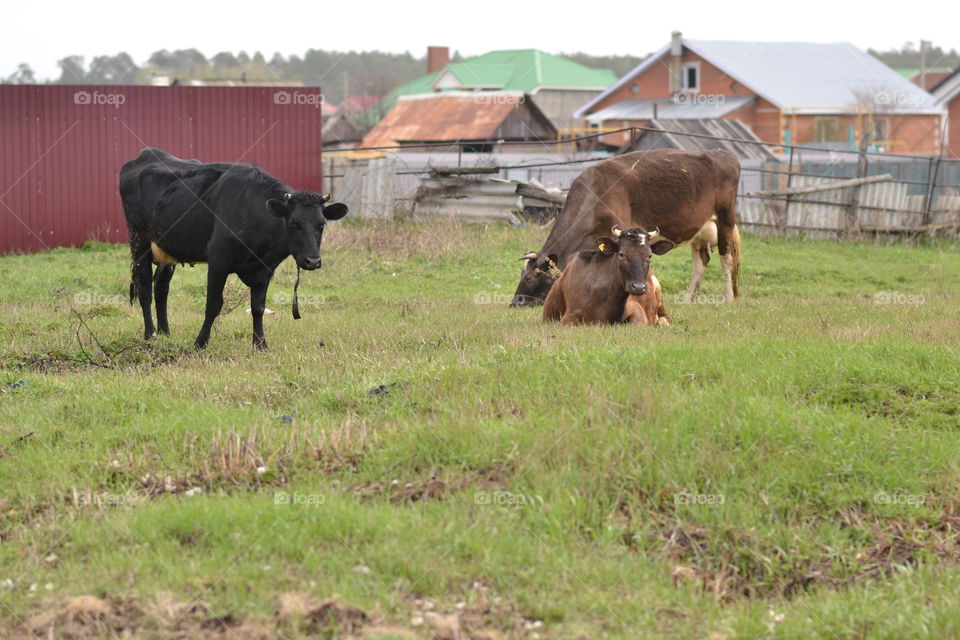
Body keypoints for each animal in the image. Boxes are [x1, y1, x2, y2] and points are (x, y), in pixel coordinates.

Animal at [119, 148, 348, 350]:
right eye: (294, 224)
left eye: (321, 224)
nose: (312, 261)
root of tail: (145, 154)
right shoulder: (218, 262)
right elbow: (213, 305)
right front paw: (200, 343)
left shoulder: (264, 269)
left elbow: (258, 308)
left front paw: (260, 345)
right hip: (139, 240)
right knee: (145, 289)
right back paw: (150, 334)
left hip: (167, 249)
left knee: (161, 287)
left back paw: (165, 332)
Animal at [512, 149, 740, 307]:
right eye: (522, 275)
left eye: (530, 278)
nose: (514, 303)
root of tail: (723, 153)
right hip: (700, 230)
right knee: (701, 263)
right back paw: (688, 300)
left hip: (725, 218)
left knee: (726, 257)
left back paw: (728, 298)